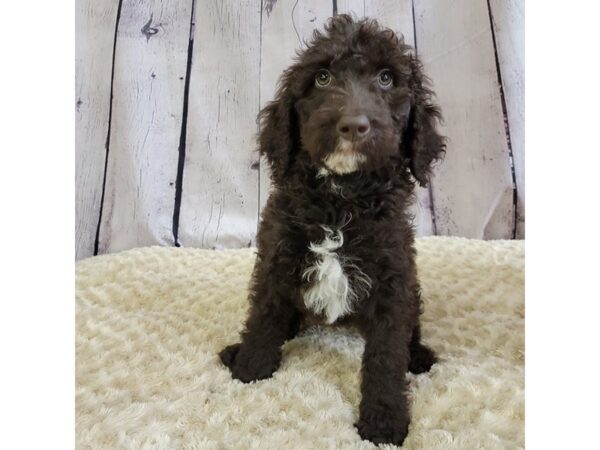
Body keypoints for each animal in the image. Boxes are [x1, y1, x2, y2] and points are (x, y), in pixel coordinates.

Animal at [220, 14, 446, 446]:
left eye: (387, 79)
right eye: (322, 78)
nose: (353, 126)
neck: (341, 198)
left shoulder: (393, 280)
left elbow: (386, 354)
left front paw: (383, 421)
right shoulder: (277, 257)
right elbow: (264, 315)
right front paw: (250, 368)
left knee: (411, 328)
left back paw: (419, 355)